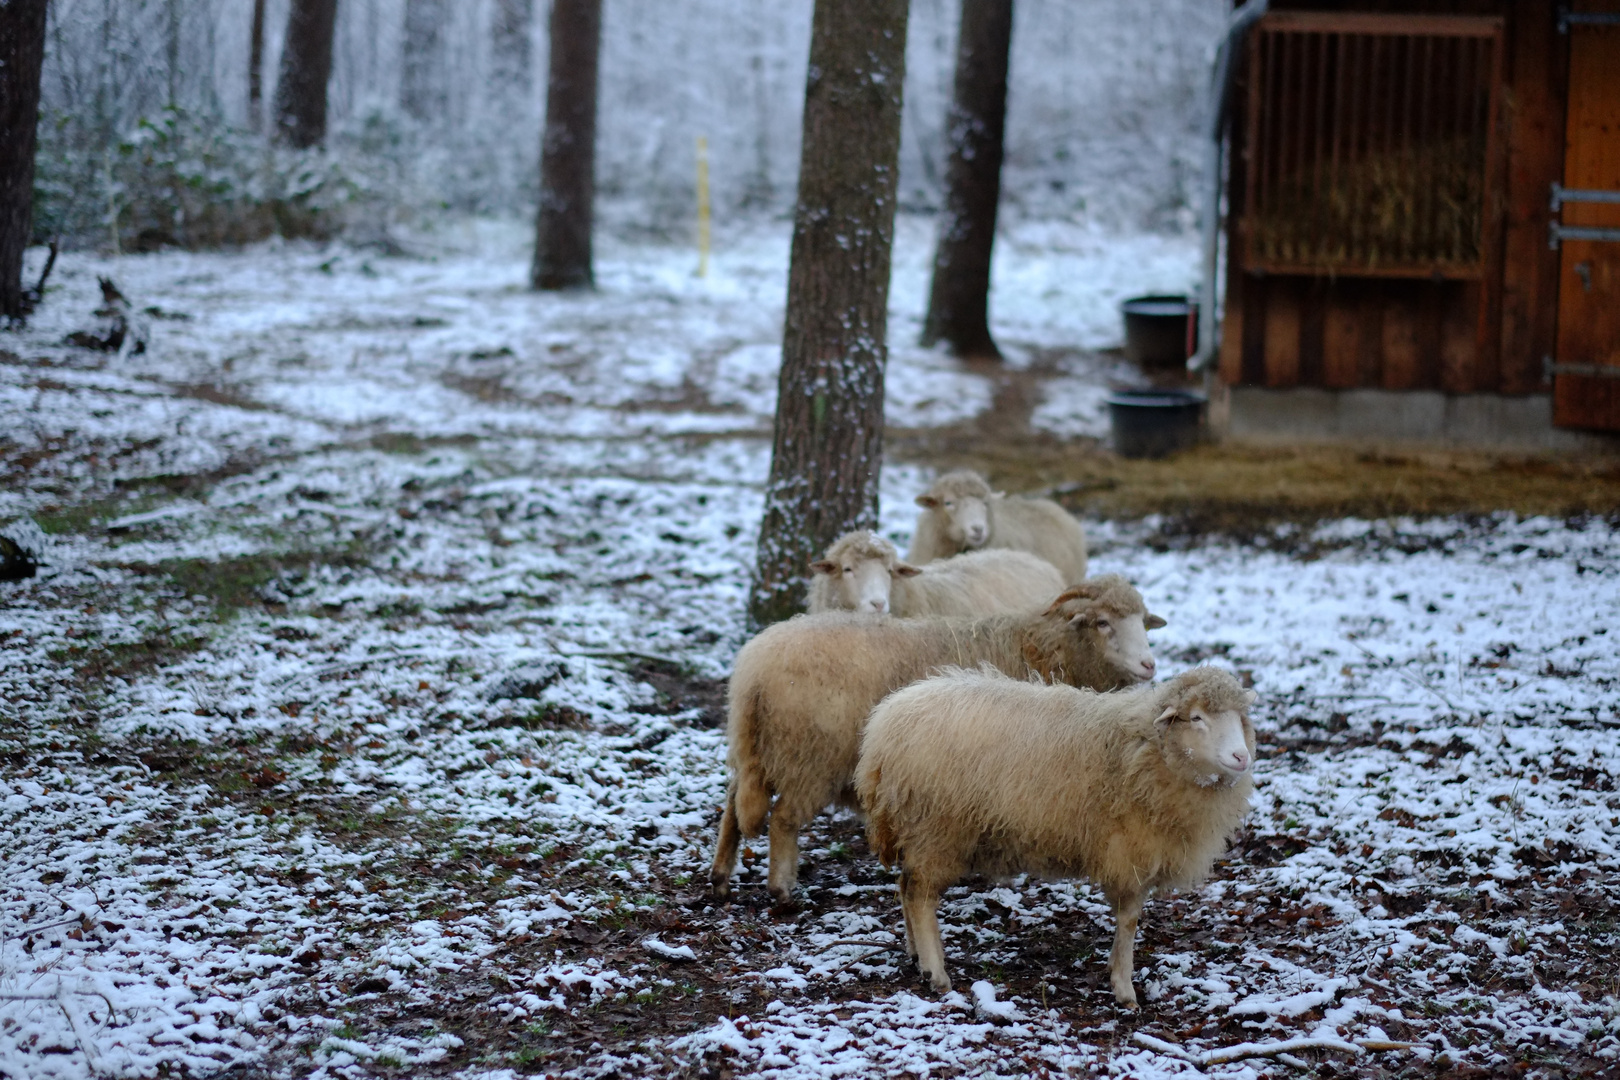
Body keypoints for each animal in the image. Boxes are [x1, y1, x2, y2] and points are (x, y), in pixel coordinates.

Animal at [709, 573, 1166, 906]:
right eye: (1103, 622)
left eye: (1143, 622)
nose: (1149, 665)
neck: (1041, 647)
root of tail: (753, 670)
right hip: (809, 755)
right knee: (784, 819)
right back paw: (782, 889)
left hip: (760, 747)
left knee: (732, 806)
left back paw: (720, 879)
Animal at [855, 663, 1257, 1010]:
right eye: (1197, 718)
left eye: (1241, 719)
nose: (1242, 757)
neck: (1142, 747)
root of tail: (883, 728)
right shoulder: (1130, 853)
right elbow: (1129, 921)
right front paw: (1124, 988)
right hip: (936, 829)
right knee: (920, 896)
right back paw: (935, 971)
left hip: (918, 830)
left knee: (905, 886)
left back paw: (915, 955)